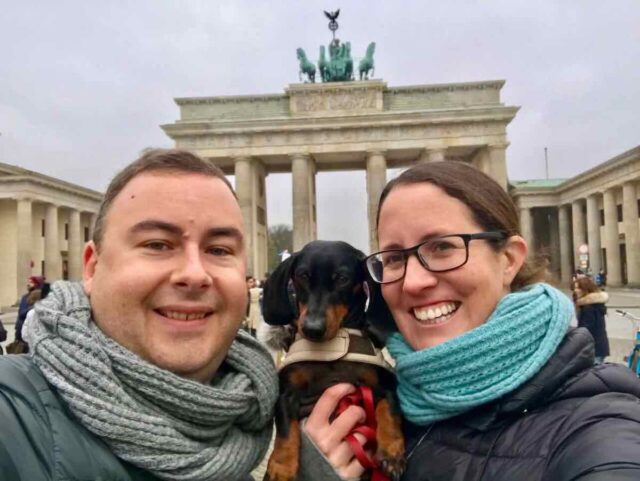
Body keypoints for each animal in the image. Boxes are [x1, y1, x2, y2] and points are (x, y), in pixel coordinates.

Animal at [262, 240, 402, 480]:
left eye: (342, 278)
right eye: (302, 276)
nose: (312, 329)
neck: (331, 350)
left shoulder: (386, 382)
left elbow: (389, 408)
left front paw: (392, 451)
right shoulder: (286, 393)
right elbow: (286, 430)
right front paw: (281, 467)